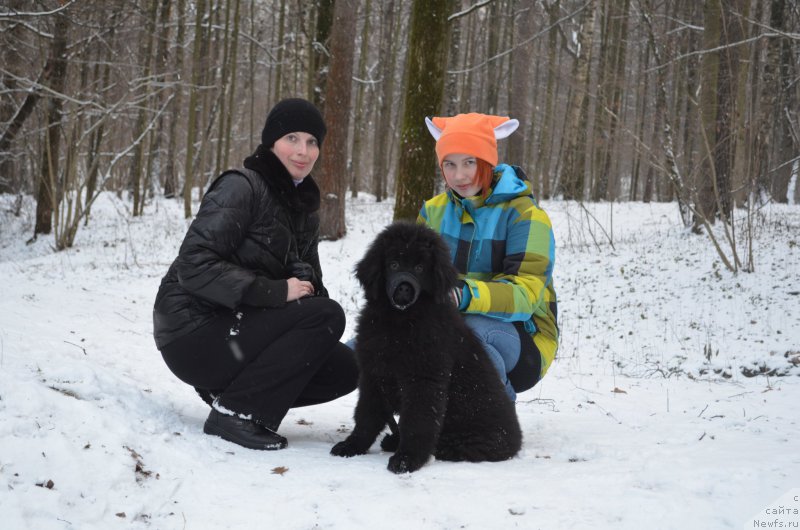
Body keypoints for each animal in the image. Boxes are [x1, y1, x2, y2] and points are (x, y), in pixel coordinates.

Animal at [330, 221, 520, 472]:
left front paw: (407, 459)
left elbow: (417, 421)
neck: (400, 323)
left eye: (420, 268)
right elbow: (366, 415)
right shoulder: (373, 374)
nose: (404, 289)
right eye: (393, 264)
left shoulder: (424, 379)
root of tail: (517, 441)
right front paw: (352, 445)